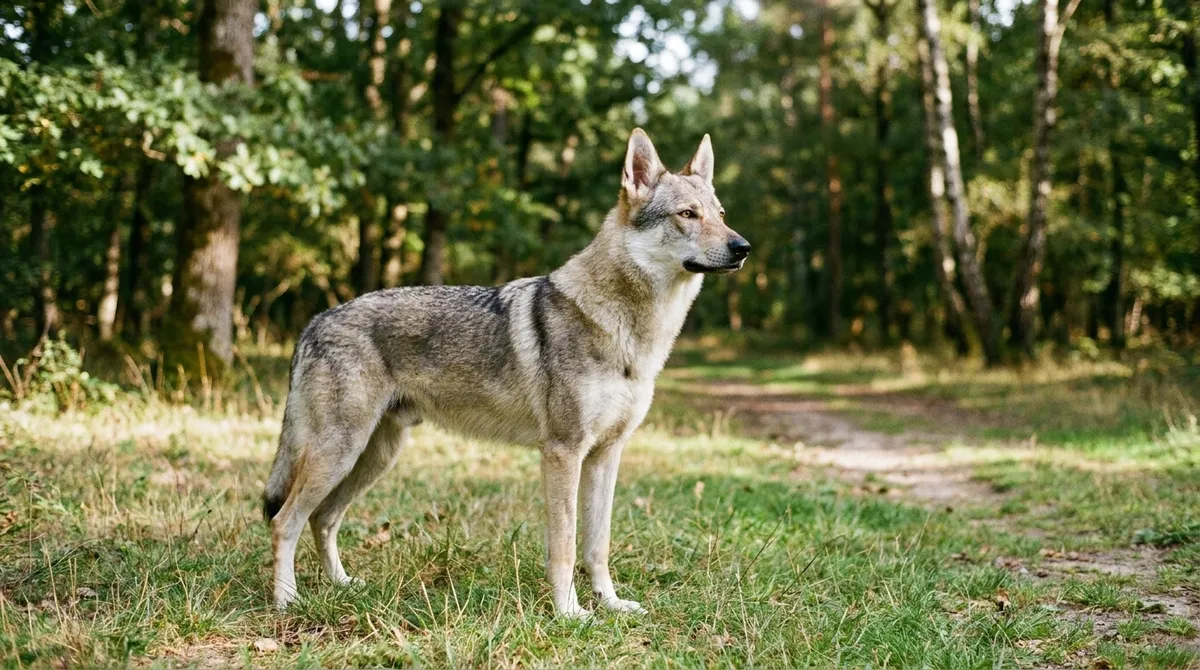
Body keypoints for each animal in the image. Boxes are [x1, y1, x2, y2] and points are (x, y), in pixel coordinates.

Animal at [263, 128, 750, 618]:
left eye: (721, 215)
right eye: (687, 214)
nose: (743, 247)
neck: (633, 333)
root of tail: (315, 321)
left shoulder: (606, 455)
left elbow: (598, 544)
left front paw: (609, 604)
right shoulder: (562, 452)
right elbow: (565, 545)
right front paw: (570, 614)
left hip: (374, 456)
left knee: (323, 520)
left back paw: (343, 586)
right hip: (341, 452)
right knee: (285, 520)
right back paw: (286, 600)